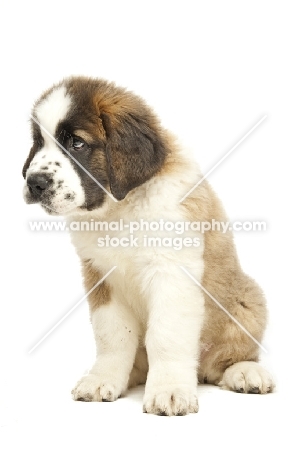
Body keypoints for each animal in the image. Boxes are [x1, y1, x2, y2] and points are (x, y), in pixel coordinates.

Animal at [23, 77, 274, 416]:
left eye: (77, 143)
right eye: (38, 142)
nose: (34, 182)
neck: (119, 210)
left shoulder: (172, 274)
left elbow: (165, 336)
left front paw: (169, 390)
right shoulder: (101, 279)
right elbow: (112, 334)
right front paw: (103, 379)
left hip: (247, 300)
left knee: (229, 358)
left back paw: (246, 372)